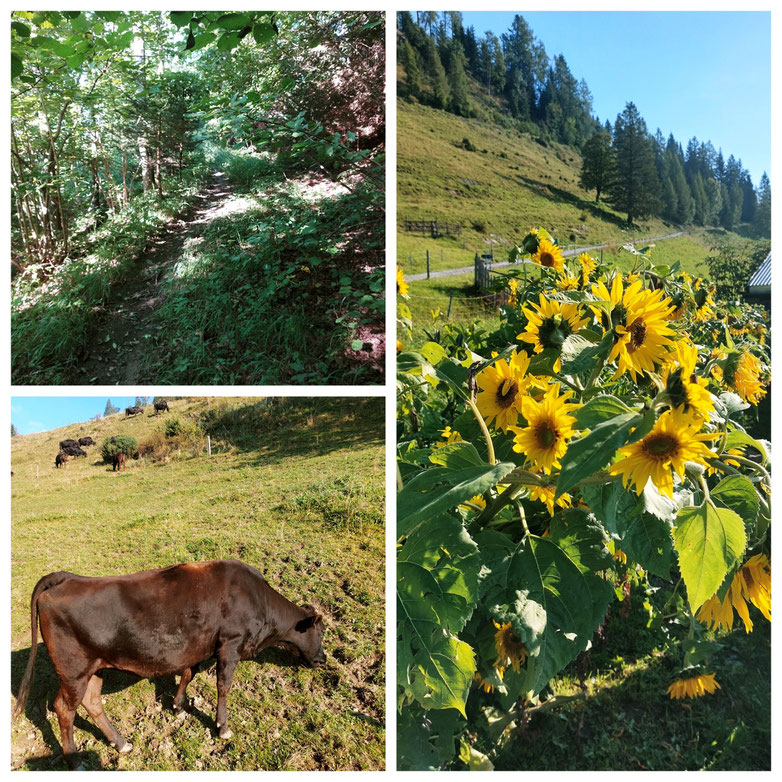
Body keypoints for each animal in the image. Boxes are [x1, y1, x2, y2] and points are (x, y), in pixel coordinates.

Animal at [15, 560, 328, 768]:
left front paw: (178, 706)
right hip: (74, 669)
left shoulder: (199, 646)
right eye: (321, 631)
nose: (323, 659)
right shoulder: (231, 644)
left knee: (91, 702)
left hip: (93, 667)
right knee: (64, 709)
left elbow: (189, 672)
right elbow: (223, 686)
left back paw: (121, 743)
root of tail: (67, 578)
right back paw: (74, 759)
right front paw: (222, 726)